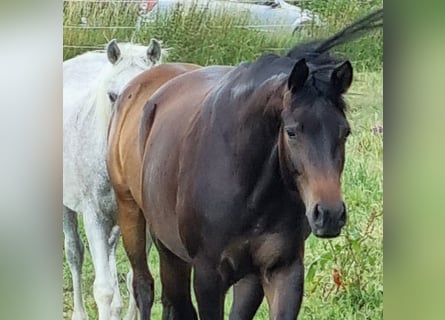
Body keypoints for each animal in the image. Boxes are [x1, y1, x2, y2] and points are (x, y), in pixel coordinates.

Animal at [63, 38, 162, 320]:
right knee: (75, 253)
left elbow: (135, 279)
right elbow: (103, 289)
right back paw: (79, 313)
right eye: (112, 96)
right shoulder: (94, 217)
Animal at [107, 8, 382, 320]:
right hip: (138, 220)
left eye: (345, 131)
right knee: (145, 287)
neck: (247, 186)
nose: (329, 214)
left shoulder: (280, 270)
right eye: (292, 131)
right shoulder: (208, 277)